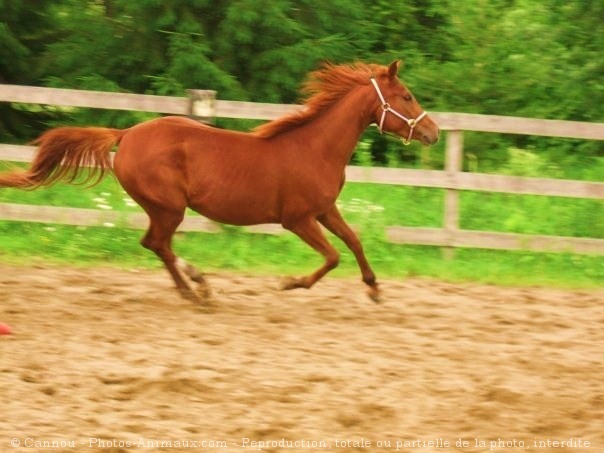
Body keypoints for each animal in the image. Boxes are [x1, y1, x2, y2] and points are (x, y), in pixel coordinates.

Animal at [0, 59, 436, 300]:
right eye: (407, 96)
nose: (432, 132)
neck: (315, 148)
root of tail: (126, 135)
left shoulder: (325, 210)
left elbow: (354, 242)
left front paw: (374, 288)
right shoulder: (297, 219)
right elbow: (332, 256)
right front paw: (290, 283)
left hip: (163, 208)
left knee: (154, 244)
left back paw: (192, 288)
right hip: (169, 207)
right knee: (157, 243)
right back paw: (199, 287)